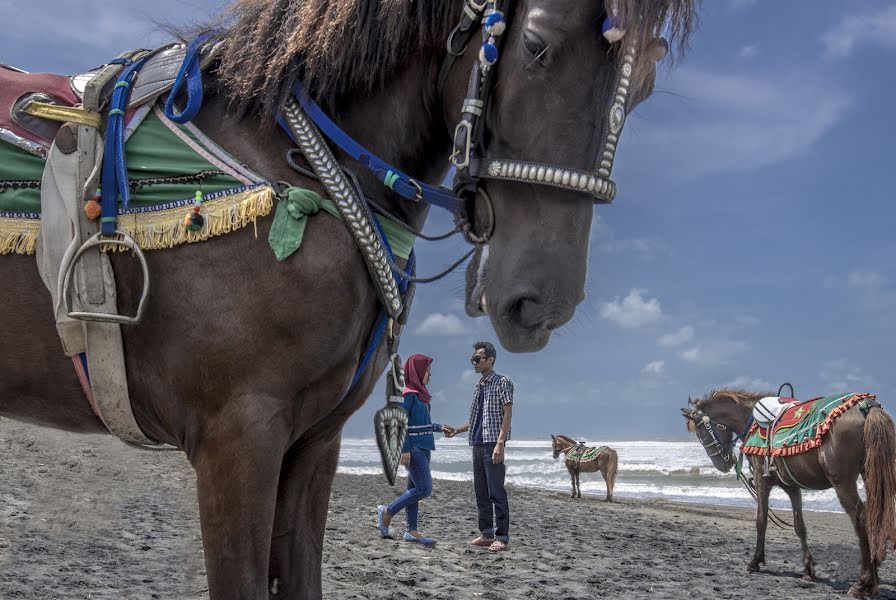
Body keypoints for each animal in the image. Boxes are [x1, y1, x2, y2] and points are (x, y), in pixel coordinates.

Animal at [0, 2, 696, 596]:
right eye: (536, 46)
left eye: (647, 81)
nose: (543, 300)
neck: (304, 164)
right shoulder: (237, 438)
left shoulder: (313, 443)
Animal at [684, 390, 896, 596]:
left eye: (702, 434)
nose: (722, 464)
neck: (752, 422)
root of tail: (867, 407)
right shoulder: (792, 487)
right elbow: (799, 526)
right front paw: (808, 569)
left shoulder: (762, 481)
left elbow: (761, 521)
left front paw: (755, 561)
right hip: (870, 475)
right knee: (873, 516)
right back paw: (873, 582)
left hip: (842, 482)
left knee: (861, 518)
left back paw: (862, 583)